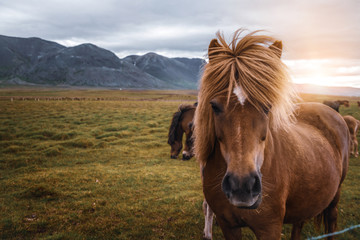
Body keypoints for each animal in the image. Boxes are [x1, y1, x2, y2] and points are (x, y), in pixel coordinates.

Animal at [193, 30, 350, 240]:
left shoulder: (269, 227)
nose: (242, 186)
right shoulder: (228, 225)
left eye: (267, 107)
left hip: (334, 196)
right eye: (215, 106)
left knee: (331, 221)